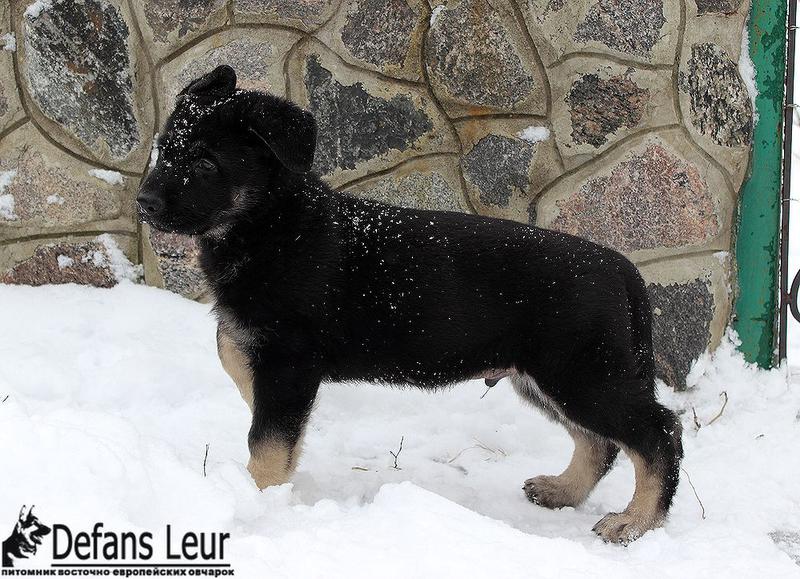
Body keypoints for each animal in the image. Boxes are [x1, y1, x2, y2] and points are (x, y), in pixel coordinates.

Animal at [136, 67, 680, 544]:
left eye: (205, 164)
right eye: (164, 151)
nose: (144, 203)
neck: (270, 223)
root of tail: (621, 269)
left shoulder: (286, 363)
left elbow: (267, 442)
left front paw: (258, 501)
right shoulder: (258, 357)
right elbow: (261, 415)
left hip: (581, 376)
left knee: (658, 433)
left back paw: (635, 522)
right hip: (545, 379)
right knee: (600, 441)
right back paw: (563, 490)